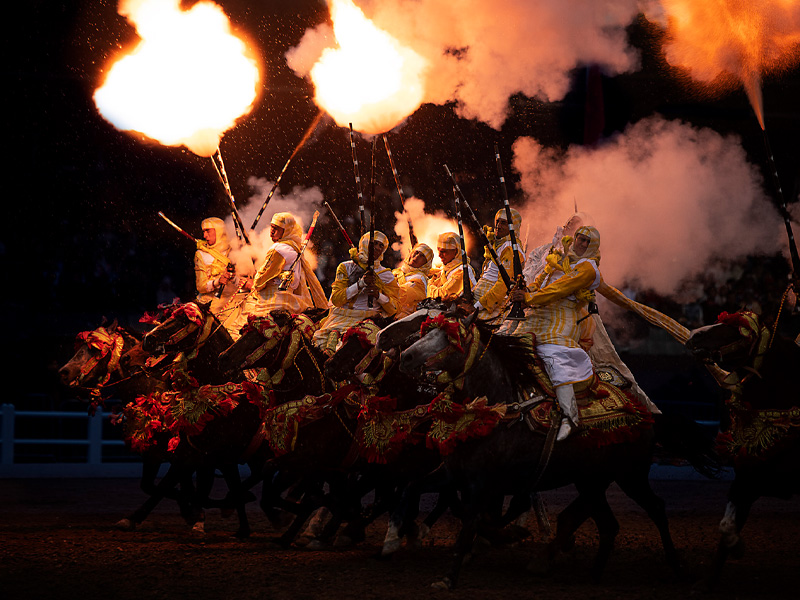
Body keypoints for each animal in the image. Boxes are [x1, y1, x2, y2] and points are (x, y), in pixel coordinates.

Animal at [400, 314, 720, 592]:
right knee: (608, 525)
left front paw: (448, 577)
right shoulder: (452, 474)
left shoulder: (483, 484)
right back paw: (591, 574)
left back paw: (679, 568)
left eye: (448, 337)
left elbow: (469, 526)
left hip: (631, 477)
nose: (406, 356)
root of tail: (649, 415)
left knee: (656, 509)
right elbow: (413, 488)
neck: (498, 410)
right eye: (426, 331)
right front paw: (409, 534)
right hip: (591, 483)